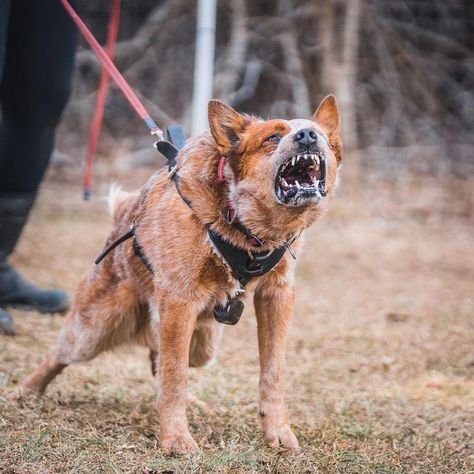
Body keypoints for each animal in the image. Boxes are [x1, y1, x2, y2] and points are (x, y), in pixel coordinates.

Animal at [6, 95, 340, 452]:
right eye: (273, 137)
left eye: (319, 133)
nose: (307, 135)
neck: (244, 226)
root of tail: (121, 217)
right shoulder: (180, 300)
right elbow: (174, 374)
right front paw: (176, 438)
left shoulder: (277, 295)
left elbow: (272, 370)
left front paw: (277, 430)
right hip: (94, 329)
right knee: (62, 354)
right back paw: (22, 392)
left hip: (204, 343)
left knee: (159, 358)